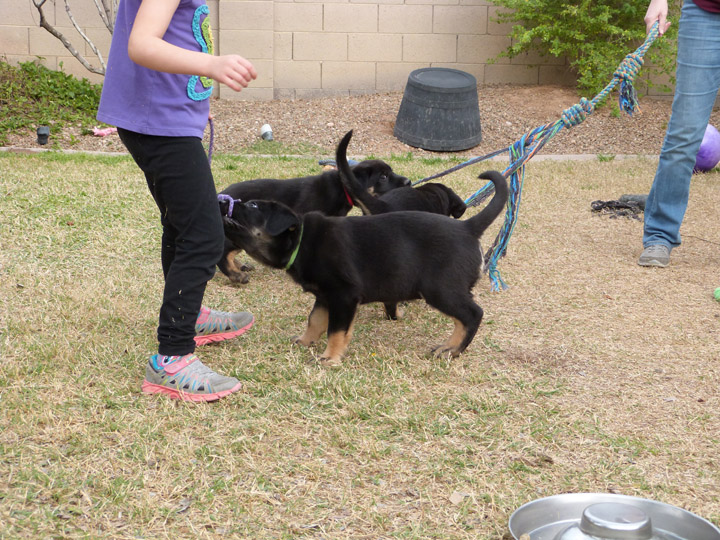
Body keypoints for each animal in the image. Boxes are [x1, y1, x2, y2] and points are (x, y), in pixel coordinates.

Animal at [217, 158, 408, 282]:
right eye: (383, 176)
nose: (408, 181)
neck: (341, 188)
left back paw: (240, 266)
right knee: (224, 252)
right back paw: (236, 276)